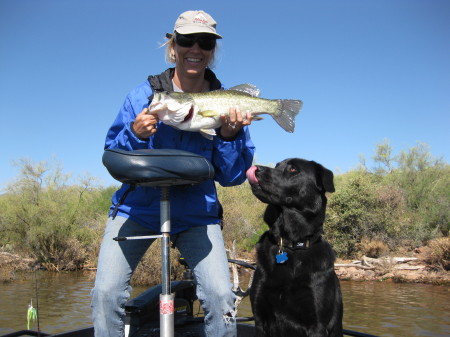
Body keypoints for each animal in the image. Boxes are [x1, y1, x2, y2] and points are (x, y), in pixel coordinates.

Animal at [246, 158, 342, 336]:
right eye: (277, 166)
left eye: (293, 169)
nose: (256, 169)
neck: (290, 244)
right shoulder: (260, 318)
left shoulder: (317, 324)